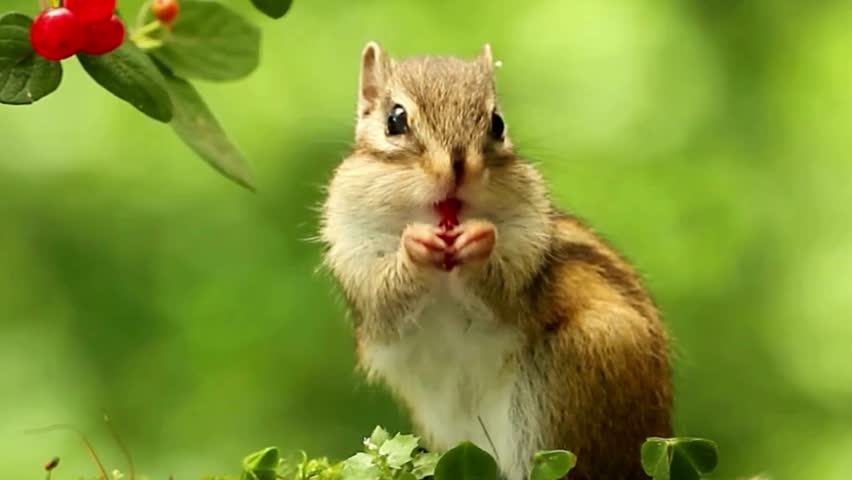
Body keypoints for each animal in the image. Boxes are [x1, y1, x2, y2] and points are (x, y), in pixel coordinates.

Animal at [318, 41, 673, 480]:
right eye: (395, 120)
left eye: (497, 123)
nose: (457, 170)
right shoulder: (355, 256)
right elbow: (382, 296)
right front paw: (413, 246)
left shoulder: (527, 252)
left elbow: (503, 288)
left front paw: (480, 241)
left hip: (579, 365)